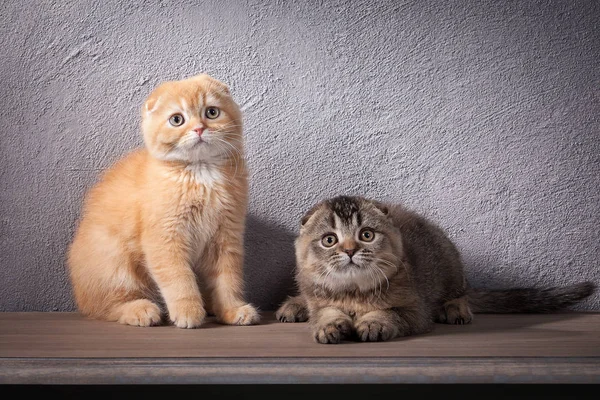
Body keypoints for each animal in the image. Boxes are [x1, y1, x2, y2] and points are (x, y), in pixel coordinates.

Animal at [68, 74, 260, 328]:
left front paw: (231, 309)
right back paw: (140, 310)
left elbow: (227, 280)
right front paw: (188, 311)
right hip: (112, 261)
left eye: (211, 112)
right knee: (104, 306)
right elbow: (179, 278)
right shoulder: (165, 238)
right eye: (177, 119)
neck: (200, 172)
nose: (199, 128)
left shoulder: (226, 237)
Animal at [276, 195, 596, 342]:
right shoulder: (321, 299)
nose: (350, 250)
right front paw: (331, 325)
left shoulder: (415, 310)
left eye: (366, 234)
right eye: (329, 240)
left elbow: (391, 313)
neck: (354, 293)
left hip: (449, 260)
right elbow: (325, 313)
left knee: (460, 292)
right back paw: (295, 305)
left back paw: (454, 308)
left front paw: (373, 322)